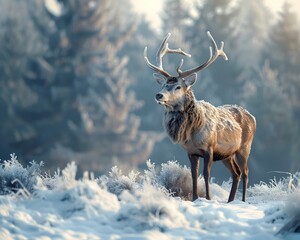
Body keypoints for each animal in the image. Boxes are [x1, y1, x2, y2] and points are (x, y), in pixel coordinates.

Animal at [144, 31, 256, 202]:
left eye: (178, 87)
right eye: (163, 85)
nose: (159, 95)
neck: (192, 133)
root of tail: (253, 117)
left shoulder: (209, 148)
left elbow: (206, 174)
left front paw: (208, 198)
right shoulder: (191, 151)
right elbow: (194, 175)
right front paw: (196, 198)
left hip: (244, 147)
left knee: (245, 173)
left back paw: (242, 201)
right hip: (227, 154)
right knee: (236, 173)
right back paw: (230, 201)